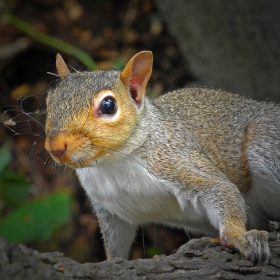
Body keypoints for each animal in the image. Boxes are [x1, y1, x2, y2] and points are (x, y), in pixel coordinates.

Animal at [45, 51, 280, 264]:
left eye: (108, 105)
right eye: (49, 101)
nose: (55, 147)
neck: (113, 163)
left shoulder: (175, 159)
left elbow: (224, 191)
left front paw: (238, 236)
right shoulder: (111, 209)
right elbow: (116, 241)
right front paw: (110, 261)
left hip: (265, 145)